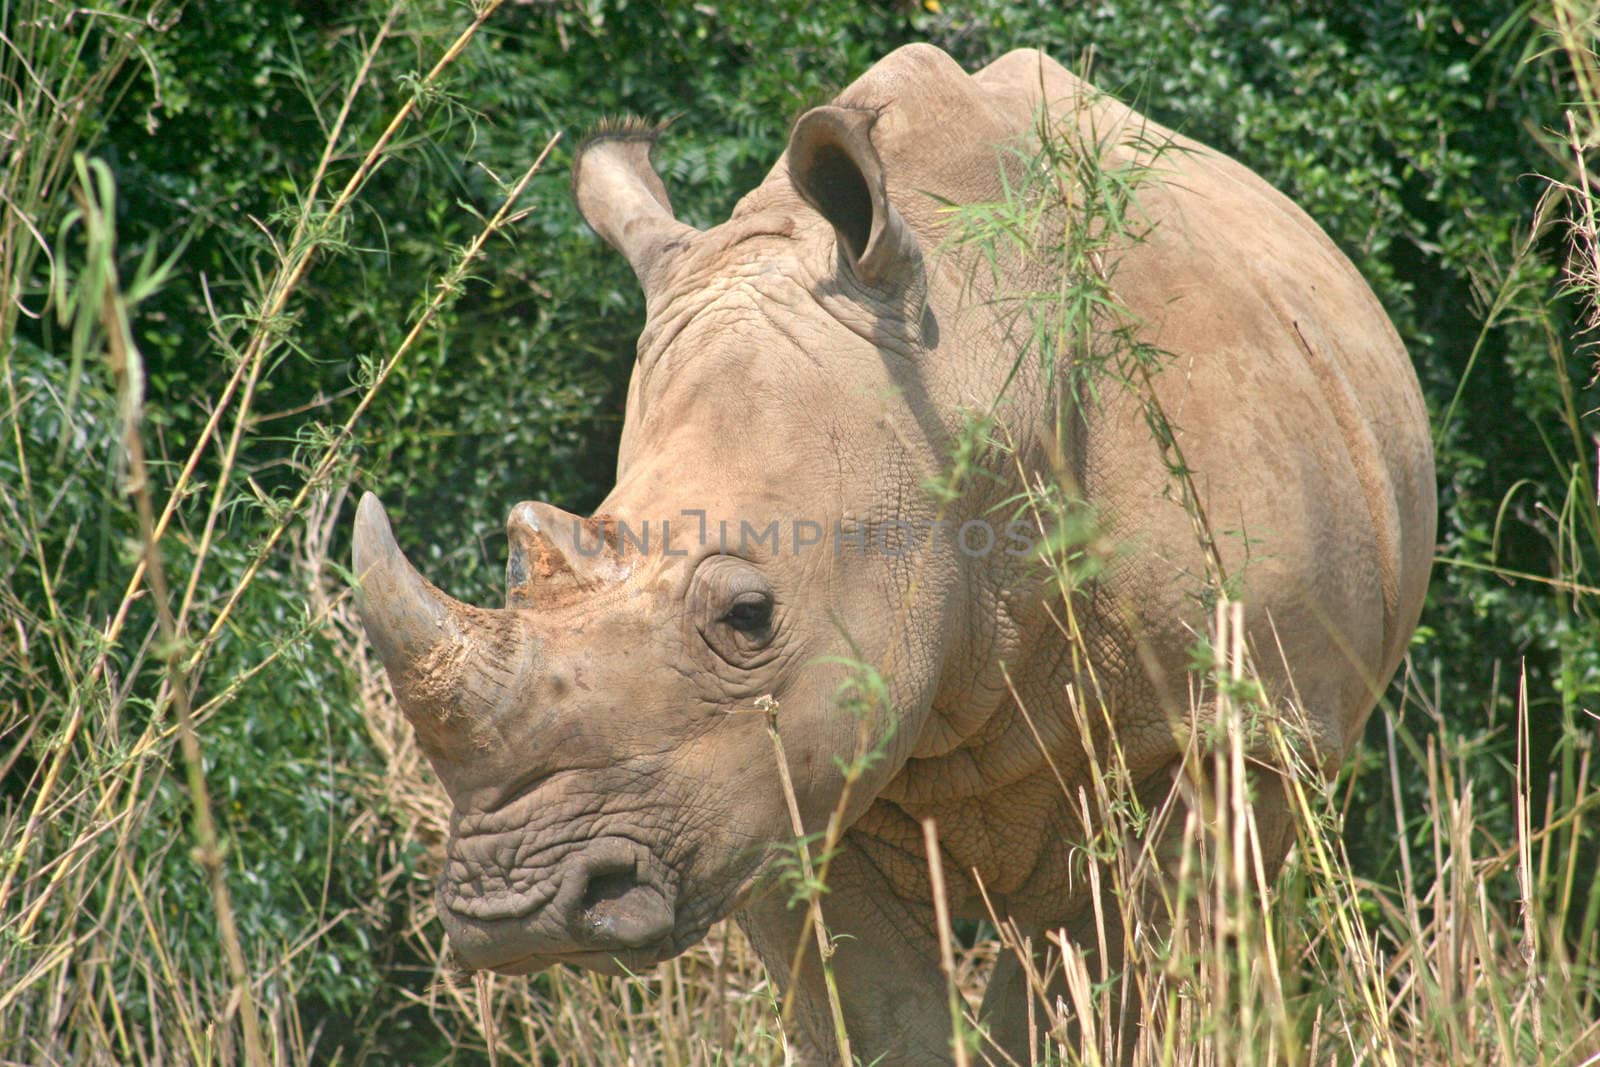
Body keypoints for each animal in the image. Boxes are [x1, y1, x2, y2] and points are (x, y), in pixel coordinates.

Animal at [353, 43, 1440, 1067]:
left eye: (748, 616)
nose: (515, 912)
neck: (964, 370)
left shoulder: (1232, 725)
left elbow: (1127, 974)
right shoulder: (758, 774)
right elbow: (878, 1014)